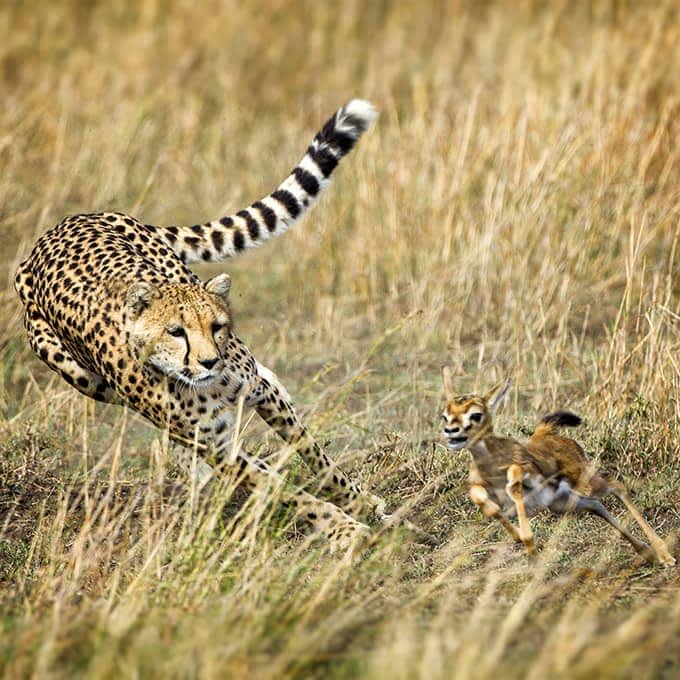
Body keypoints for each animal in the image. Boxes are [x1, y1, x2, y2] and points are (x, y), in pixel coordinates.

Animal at [14, 99, 388, 548]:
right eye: (175, 332)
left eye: (216, 327)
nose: (210, 362)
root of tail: (59, 228)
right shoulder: (218, 447)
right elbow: (284, 490)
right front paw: (343, 527)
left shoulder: (259, 394)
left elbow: (314, 453)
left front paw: (359, 503)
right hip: (90, 382)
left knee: (270, 384)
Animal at [440, 370, 676, 564]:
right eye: (445, 415)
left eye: (476, 414)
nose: (451, 431)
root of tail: (546, 433)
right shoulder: (485, 490)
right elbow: (483, 501)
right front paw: (520, 540)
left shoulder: (527, 471)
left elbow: (514, 482)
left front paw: (528, 543)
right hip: (563, 502)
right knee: (596, 505)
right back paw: (646, 552)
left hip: (585, 483)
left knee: (616, 486)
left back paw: (664, 555)